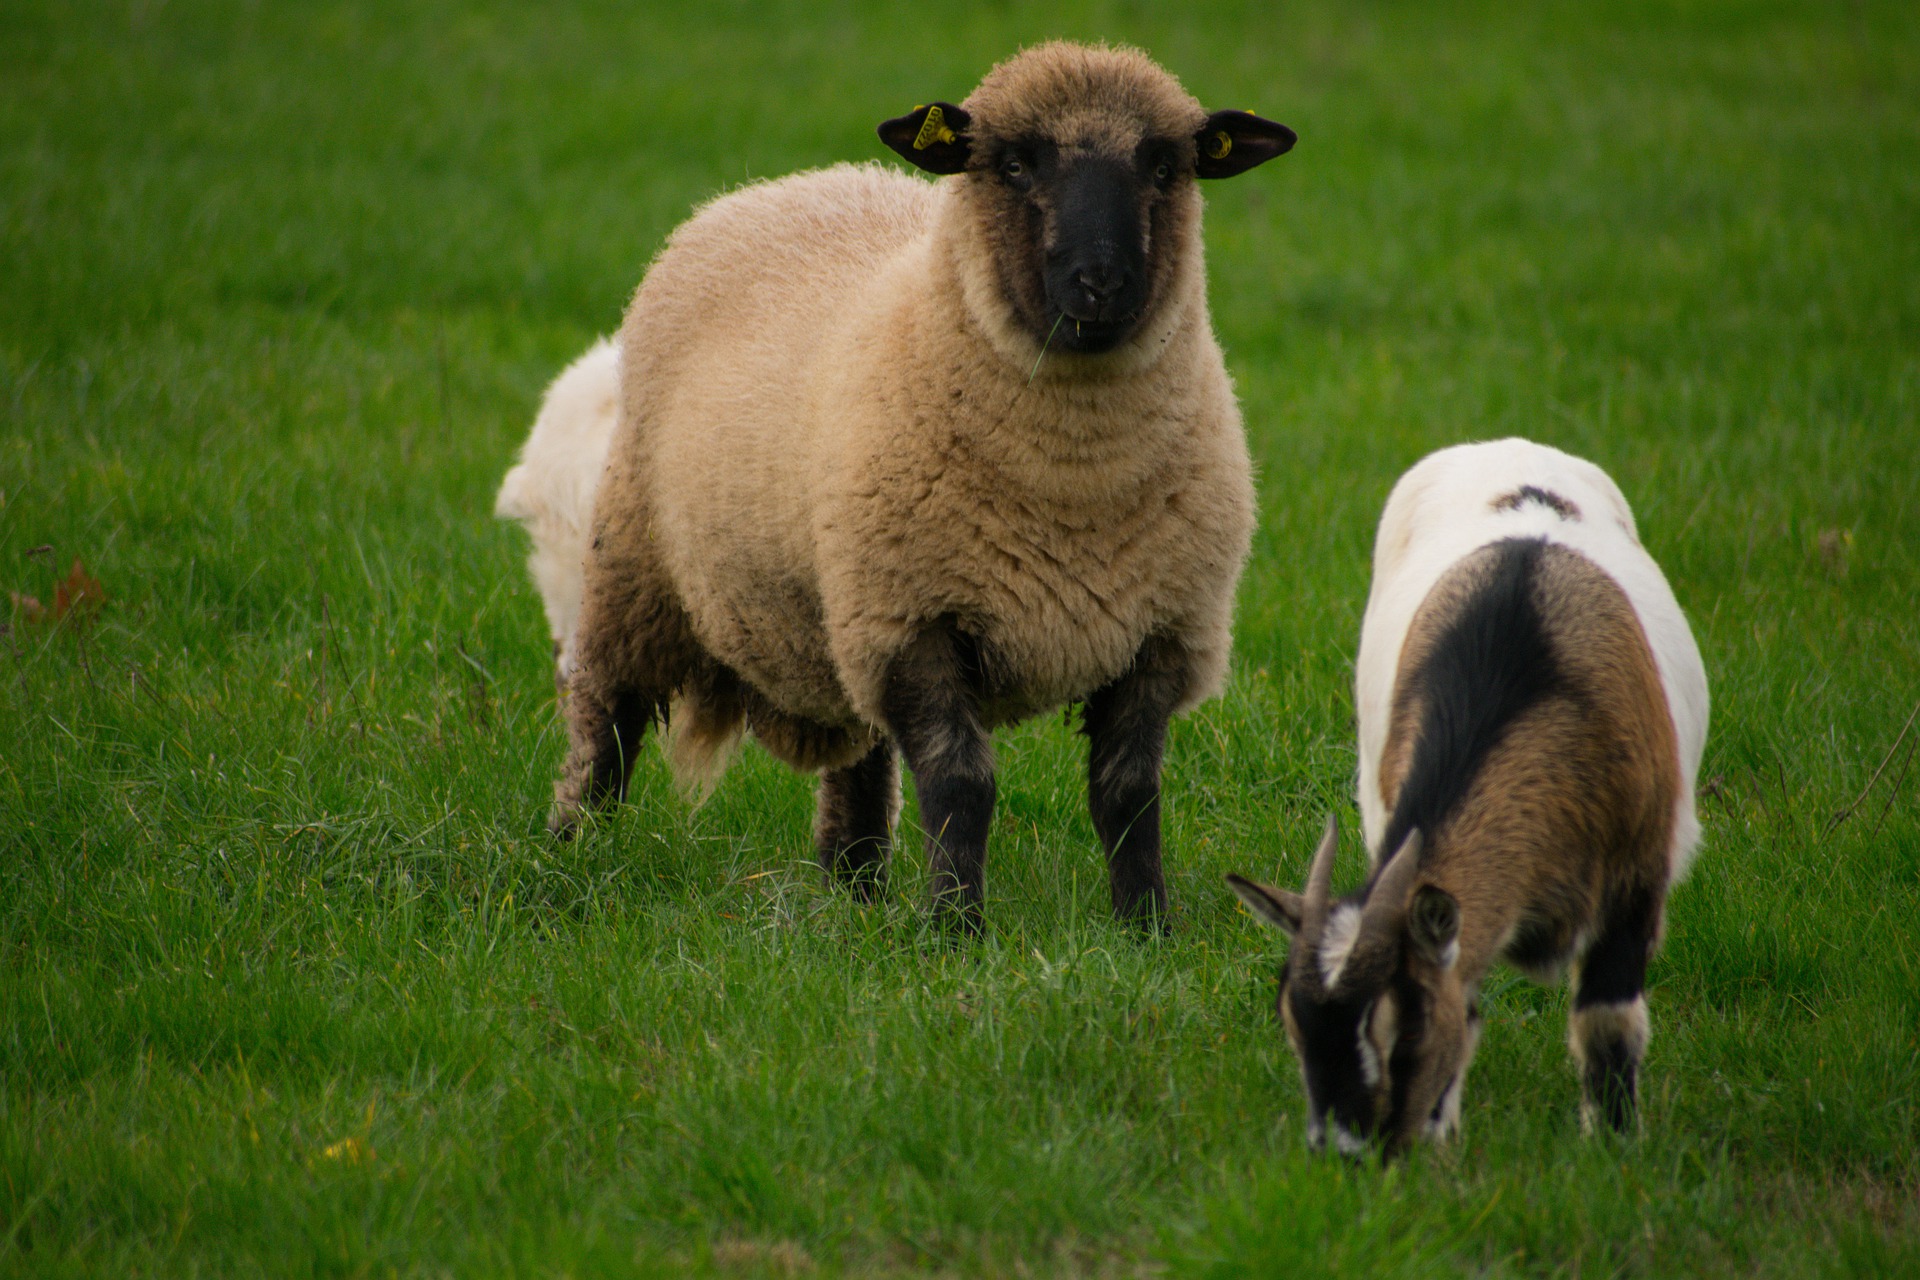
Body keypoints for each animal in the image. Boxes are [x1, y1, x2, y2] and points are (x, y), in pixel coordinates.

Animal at [549, 42, 1297, 932]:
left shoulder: (1161, 630)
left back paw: (855, 888)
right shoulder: (915, 619)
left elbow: (1128, 793)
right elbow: (960, 784)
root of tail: (788, 183)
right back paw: (572, 859)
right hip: (638, 567)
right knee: (606, 722)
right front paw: (954, 930)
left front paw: (1145, 928)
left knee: (861, 765)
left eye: (1163, 166)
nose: (1101, 282)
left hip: (836, 608)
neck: (1072, 481)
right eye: (1012, 163)